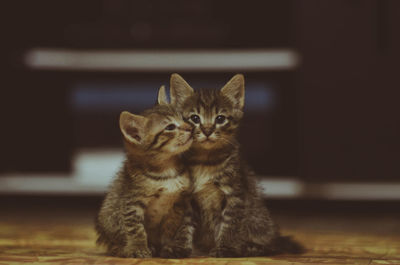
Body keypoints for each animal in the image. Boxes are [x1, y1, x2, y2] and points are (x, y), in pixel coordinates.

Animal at [97, 86, 197, 258]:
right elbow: (135, 229)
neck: (167, 171)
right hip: (109, 217)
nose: (190, 128)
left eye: (184, 118)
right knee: (115, 242)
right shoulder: (131, 202)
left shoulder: (179, 203)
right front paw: (138, 248)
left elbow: (172, 227)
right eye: (170, 127)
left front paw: (169, 247)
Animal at [168, 73, 304, 256]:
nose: (207, 130)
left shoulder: (235, 195)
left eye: (220, 119)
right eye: (195, 118)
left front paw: (226, 248)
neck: (205, 160)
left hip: (259, 219)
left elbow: (230, 224)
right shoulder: (186, 197)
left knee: (272, 245)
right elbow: (184, 224)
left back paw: (252, 247)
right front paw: (180, 247)